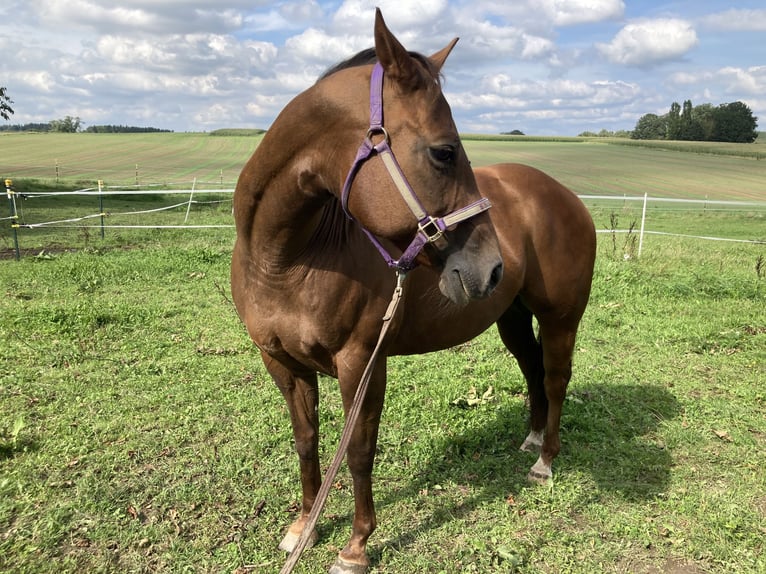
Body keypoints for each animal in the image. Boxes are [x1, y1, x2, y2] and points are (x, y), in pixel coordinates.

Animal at [231, 9, 596, 574]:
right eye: (444, 152)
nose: (491, 267)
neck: (287, 261)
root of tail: (564, 195)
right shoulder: (281, 362)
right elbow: (306, 441)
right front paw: (303, 528)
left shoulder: (362, 361)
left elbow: (359, 451)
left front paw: (356, 546)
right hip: (511, 316)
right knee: (532, 369)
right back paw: (533, 438)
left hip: (561, 317)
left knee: (555, 379)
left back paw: (544, 461)